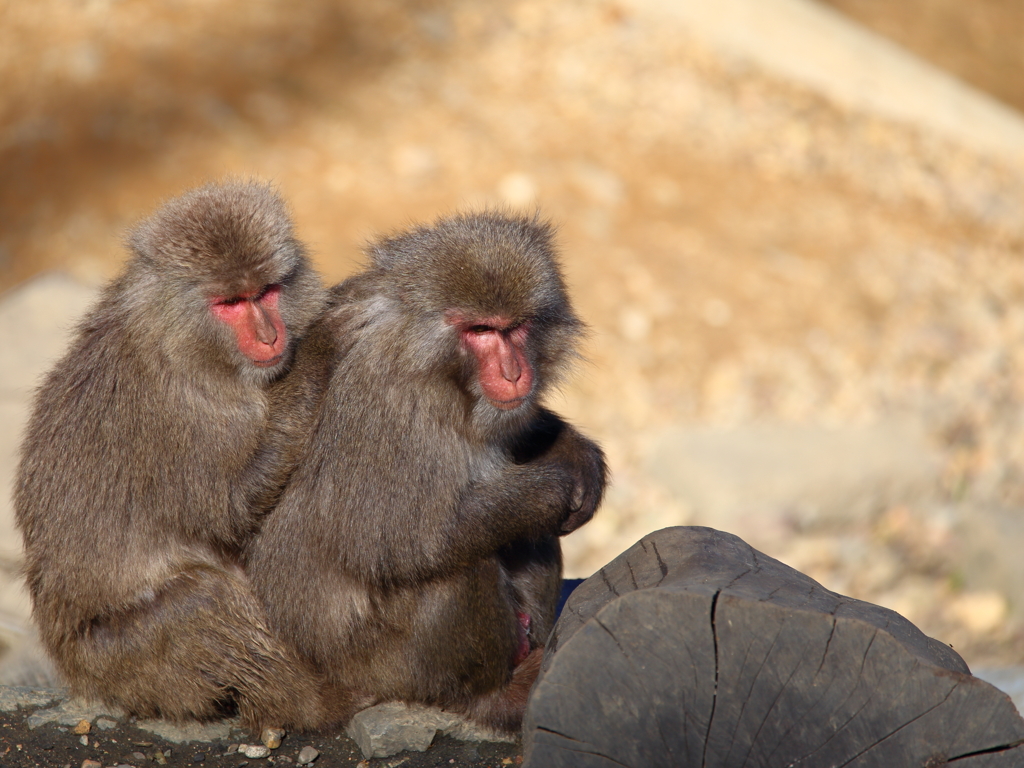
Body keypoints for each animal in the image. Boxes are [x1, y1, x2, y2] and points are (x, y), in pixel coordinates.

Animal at [12, 180, 331, 733]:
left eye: (266, 292)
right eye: (230, 302)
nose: (271, 336)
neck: (194, 351)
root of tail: (74, 671)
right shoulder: (177, 415)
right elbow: (227, 512)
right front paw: (311, 364)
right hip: (122, 663)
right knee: (204, 600)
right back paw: (310, 705)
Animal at [242, 208, 602, 733]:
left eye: (514, 327)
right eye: (480, 331)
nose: (514, 373)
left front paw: (578, 456)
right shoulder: (392, 409)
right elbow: (402, 540)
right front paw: (555, 483)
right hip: (386, 665)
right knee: (463, 565)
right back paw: (490, 697)